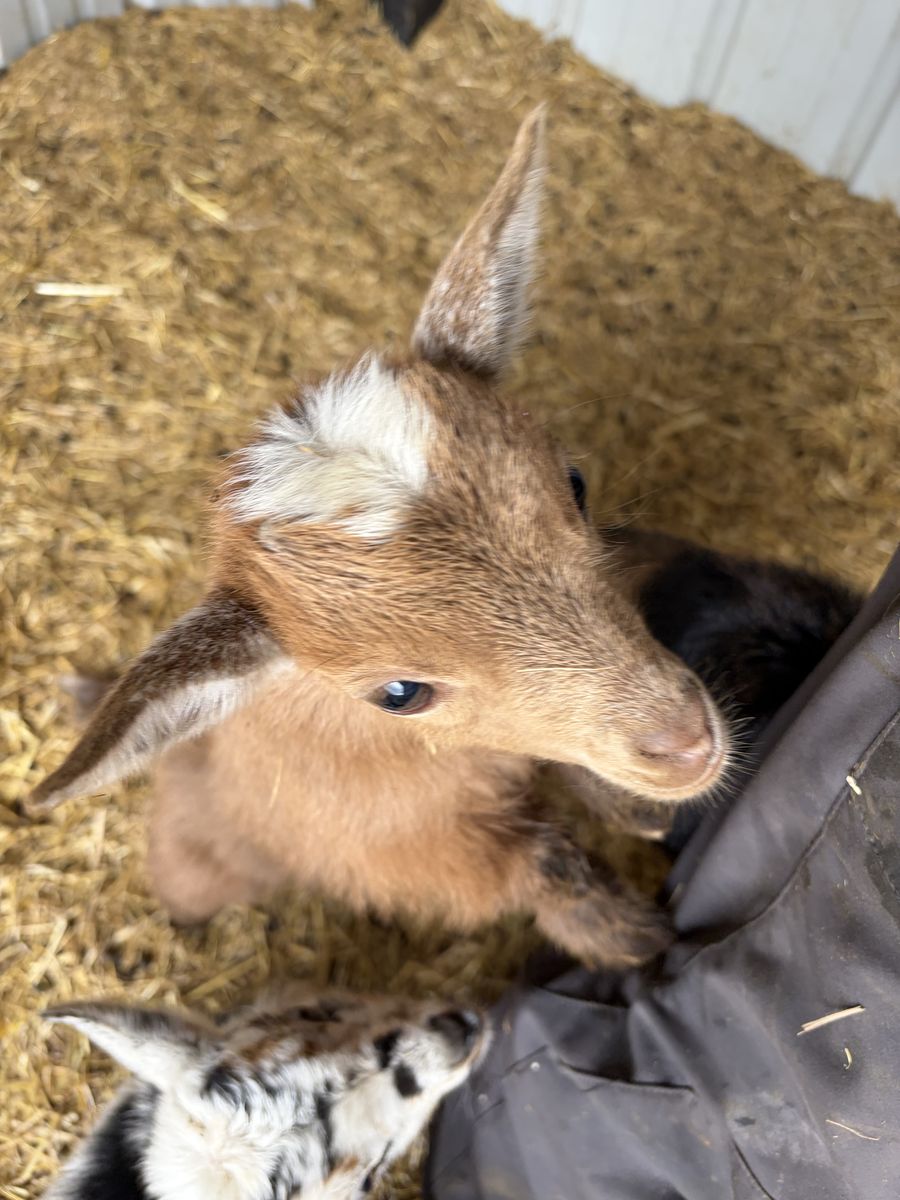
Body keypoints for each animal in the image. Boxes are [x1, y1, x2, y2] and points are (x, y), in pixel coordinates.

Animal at [29, 108, 730, 967]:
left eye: (576, 484)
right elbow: (542, 863)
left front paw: (636, 812)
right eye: (399, 693)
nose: (685, 740)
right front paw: (635, 940)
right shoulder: (409, 850)